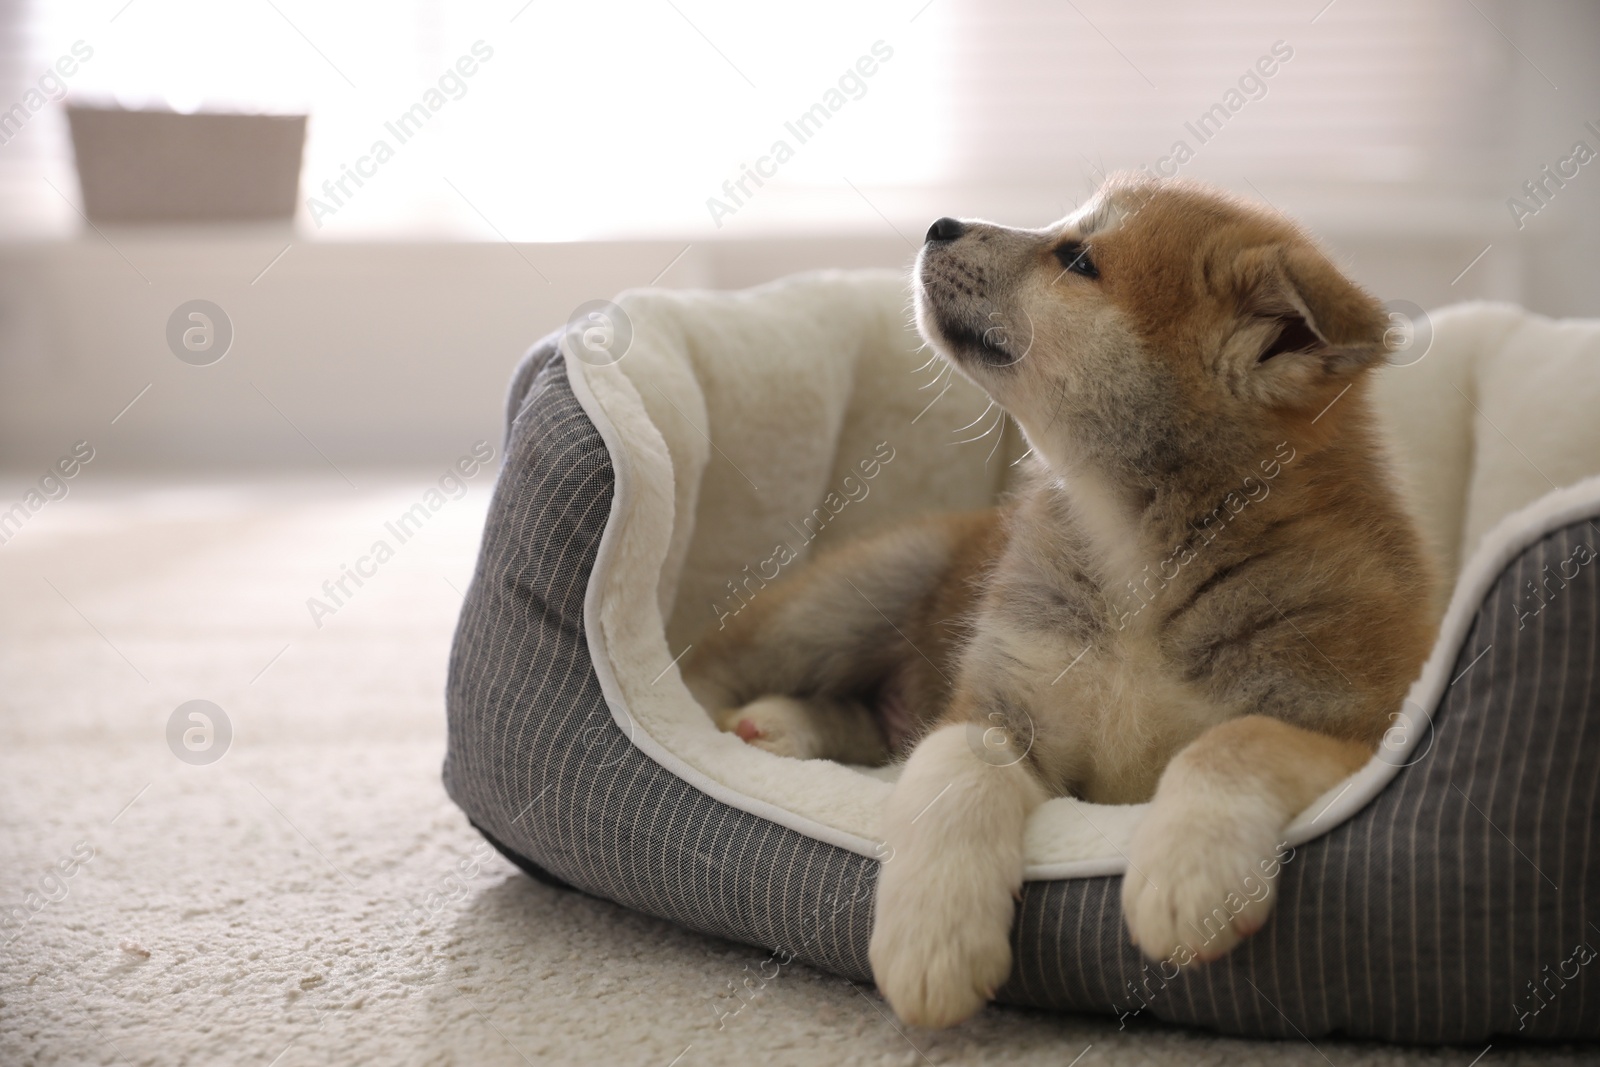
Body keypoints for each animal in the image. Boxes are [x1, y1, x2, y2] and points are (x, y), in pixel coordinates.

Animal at [681, 175, 1433, 1023]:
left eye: (1077, 259)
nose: (940, 224)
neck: (1137, 571)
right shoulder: (996, 698)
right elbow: (952, 770)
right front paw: (934, 935)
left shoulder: (1364, 727)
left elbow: (1235, 740)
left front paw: (1189, 872)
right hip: (852, 598)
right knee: (724, 668)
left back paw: (777, 727)